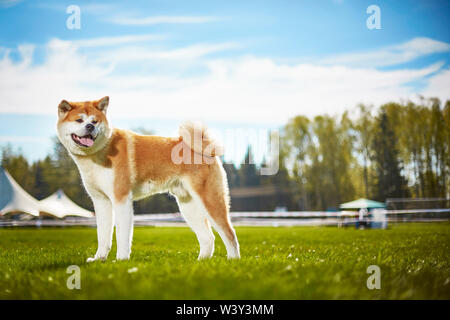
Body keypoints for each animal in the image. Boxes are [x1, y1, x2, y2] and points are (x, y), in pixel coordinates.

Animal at [56, 96, 241, 262]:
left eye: (95, 121)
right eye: (79, 120)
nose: (89, 126)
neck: (99, 153)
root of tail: (205, 149)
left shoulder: (121, 199)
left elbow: (122, 235)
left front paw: (121, 260)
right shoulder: (101, 201)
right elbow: (102, 235)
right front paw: (99, 258)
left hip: (210, 200)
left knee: (229, 233)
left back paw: (233, 260)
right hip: (188, 206)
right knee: (208, 238)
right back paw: (201, 261)